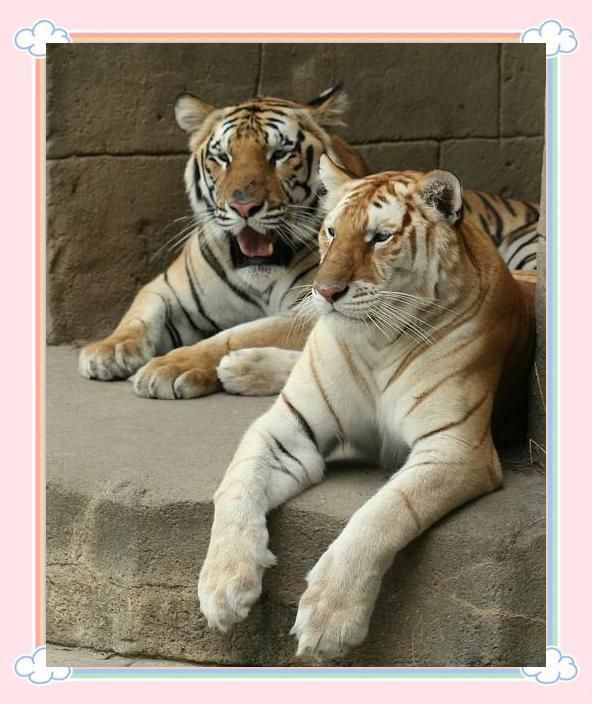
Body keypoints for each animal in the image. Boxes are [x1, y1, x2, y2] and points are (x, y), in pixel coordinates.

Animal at [78, 87, 539, 400]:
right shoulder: (168, 287)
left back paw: (243, 369)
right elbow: (139, 312)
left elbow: (238, 334)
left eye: (280, 155)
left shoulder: (308, 307)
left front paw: (173, 366)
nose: (243, 206)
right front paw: (107, 351)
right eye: (222, 157)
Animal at [197, 158, 535, 661]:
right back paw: (239, 365)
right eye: (331, 232)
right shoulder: (285, 429)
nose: (324, 291)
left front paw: (328, 616)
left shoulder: (454, 448)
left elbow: (383, 512)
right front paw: (222, 585)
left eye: (380, 237)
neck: (377, 340)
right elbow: (236, 487)